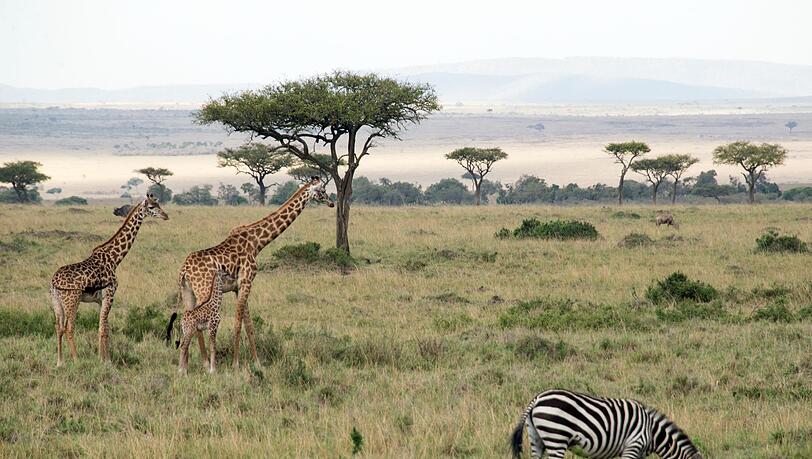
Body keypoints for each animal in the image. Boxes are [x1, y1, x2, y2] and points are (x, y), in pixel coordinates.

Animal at [511, 389, 703, 459]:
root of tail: (537, 398)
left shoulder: (639, 453)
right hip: (556, 437)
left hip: (536, 437)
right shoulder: (633, 446)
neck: (652, 432)